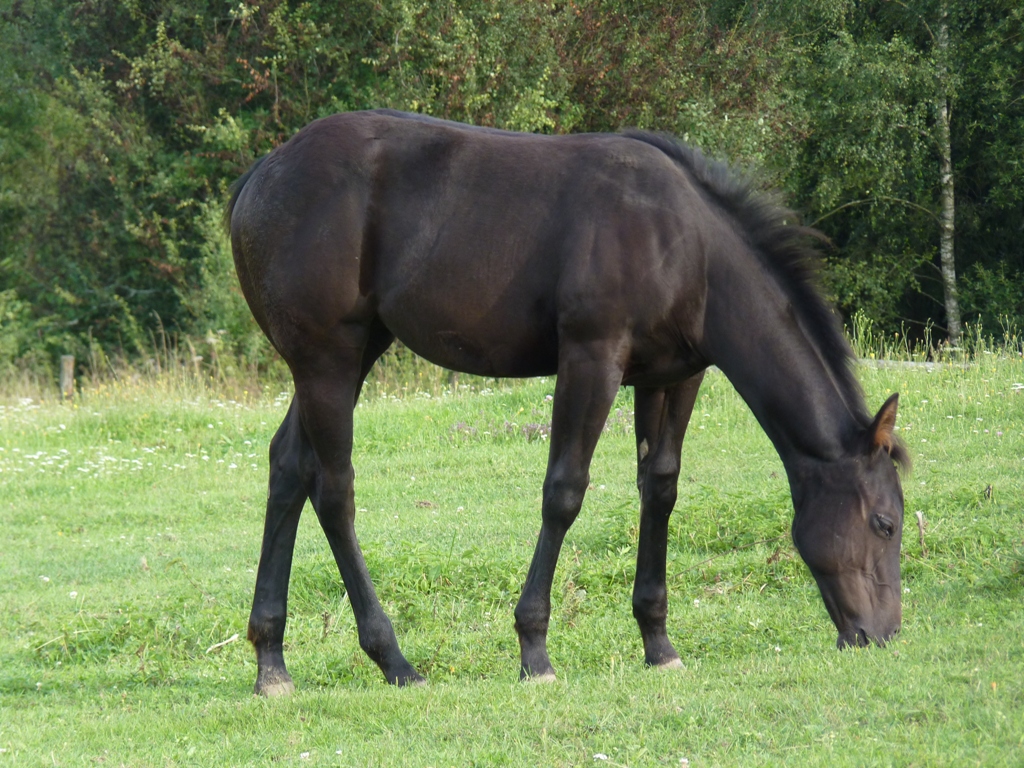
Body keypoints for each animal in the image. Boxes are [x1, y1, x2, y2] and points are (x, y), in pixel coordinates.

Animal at [228, 109, 909, 696]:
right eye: (885, 523)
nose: (880, 636)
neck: (684, 244)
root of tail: (261, 175)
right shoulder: (591, 358)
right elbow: (564, 492)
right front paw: (534, 650)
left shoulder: (674, 376)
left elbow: (660, 489)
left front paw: (658, 642)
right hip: (328, 360)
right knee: (334, 490)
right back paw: (393, 658)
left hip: (351, 353)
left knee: (288, 467)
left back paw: (272, 661)